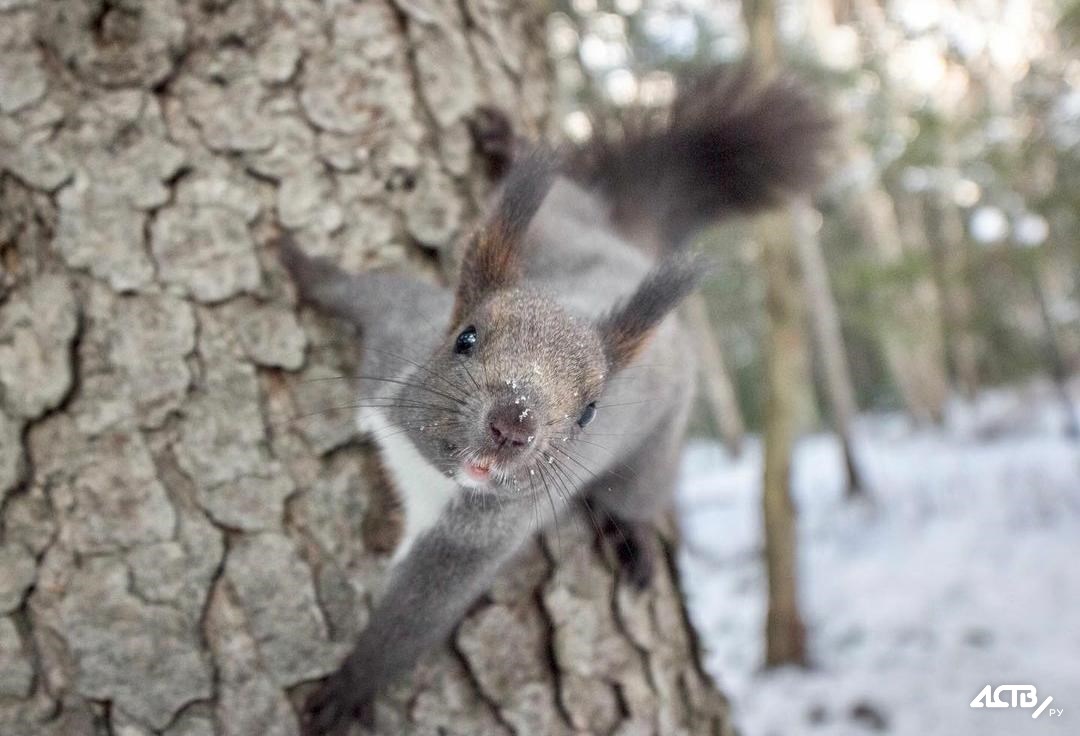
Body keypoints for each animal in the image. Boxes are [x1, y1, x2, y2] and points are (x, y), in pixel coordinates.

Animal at [276, 65, 825, 730]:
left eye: (589, 411)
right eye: (465, 338)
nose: (514, 424)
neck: (428, 466)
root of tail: (631, 252)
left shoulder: (474, 543)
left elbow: (412, 621)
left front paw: (349, 690)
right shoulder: (396, 334)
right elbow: (360, 289)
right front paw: (299, 263)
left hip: (656, 445)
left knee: (638, 495)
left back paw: (635, 540)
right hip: (562, 224)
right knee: (564, 191)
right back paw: (507, 142)